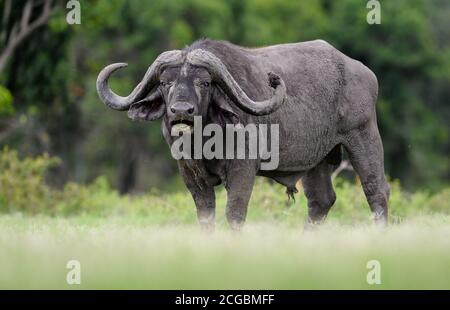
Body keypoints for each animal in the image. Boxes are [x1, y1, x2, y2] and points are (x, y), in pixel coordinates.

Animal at [96, 38, 388, 230]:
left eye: (204, 83)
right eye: (166, 83)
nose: (181, 111)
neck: (204, 142)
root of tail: (363, 71)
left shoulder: (243, 169)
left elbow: (234, 212)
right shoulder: (190, 174)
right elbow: (206, 215)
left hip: (363, 136)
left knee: (376, 190)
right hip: (318, 159)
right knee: (321, 201)